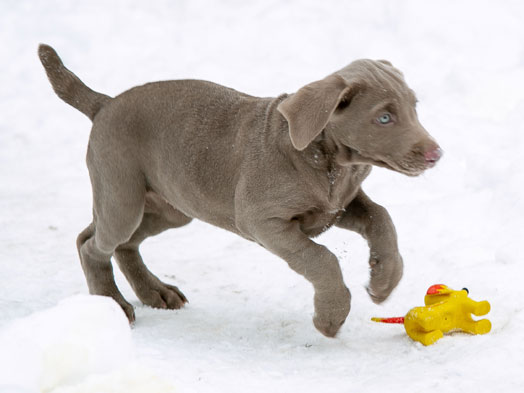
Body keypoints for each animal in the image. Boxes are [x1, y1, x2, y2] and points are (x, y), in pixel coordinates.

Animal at [37, 44, 438, 336]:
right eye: (383, 117)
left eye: (413, 108)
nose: (436, 154)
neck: (327, 162)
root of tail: (104, 104)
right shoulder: (263, 221)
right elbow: (321, 258)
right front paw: (331, 317)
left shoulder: (339, 204)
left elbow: (381, 218)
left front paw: (384, 279)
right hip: (123, 193)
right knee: (91, 244)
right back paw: (113, 304)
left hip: (171, 205)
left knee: (121, 243)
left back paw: (155, 292)